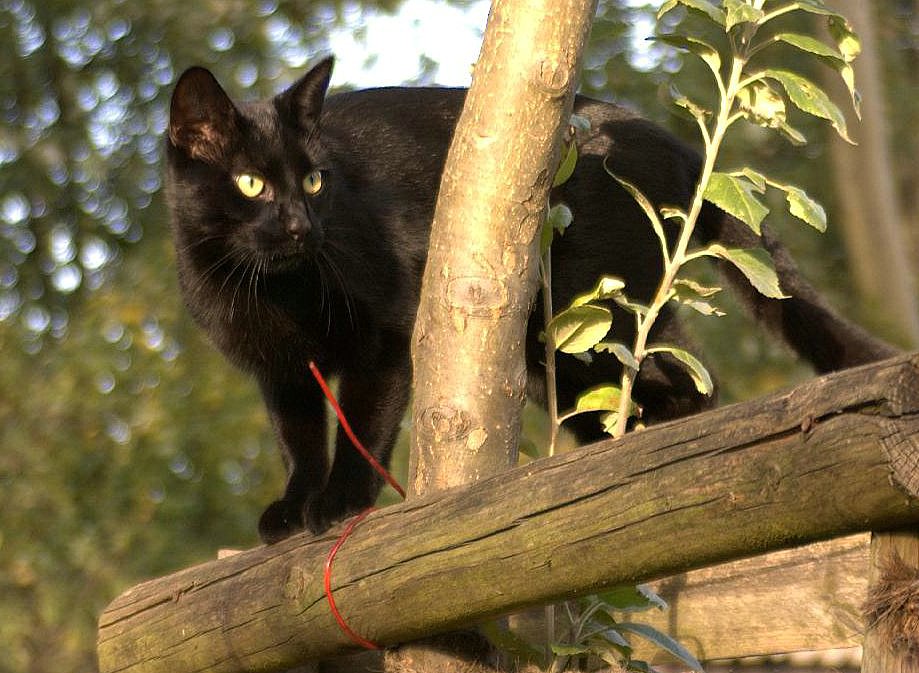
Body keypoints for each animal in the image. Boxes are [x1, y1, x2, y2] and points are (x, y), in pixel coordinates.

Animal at [164, 55, 892, 544]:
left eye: (315, 180)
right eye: (252, 183)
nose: (300, 225)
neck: (270, 286)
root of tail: (674, 143)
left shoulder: (389, 335)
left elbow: (362, 426)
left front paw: (340, 502)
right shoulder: (280, 371)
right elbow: (298, 439)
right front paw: (292, 507)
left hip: (591, 313)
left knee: (682, 379)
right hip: (568, 347)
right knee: (664, 381)